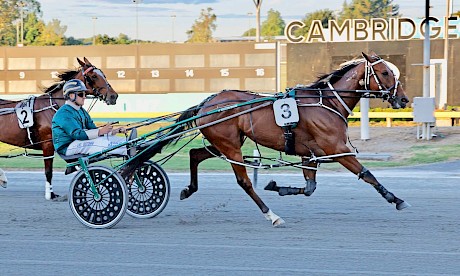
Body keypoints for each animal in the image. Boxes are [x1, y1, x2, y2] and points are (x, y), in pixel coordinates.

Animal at [0, 57, 118, 201]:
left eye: (104, 75)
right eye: (94, 76)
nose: (113, 96)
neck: (55, 106)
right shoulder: (48, 144)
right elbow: (48, 171)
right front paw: (50, 194)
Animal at [122, 52, 410, 226]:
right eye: (385, 73)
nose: (404, 99)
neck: (326, 103)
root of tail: (208, 102)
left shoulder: (309, 154)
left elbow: (309, 188)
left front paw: (276, 186)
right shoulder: (336, 148)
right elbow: (367, 174)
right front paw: (397, 199)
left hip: (226, 142)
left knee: (195, 154)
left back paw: (188, 189)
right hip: (230, 146)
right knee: (244, 181)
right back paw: (271, 215)